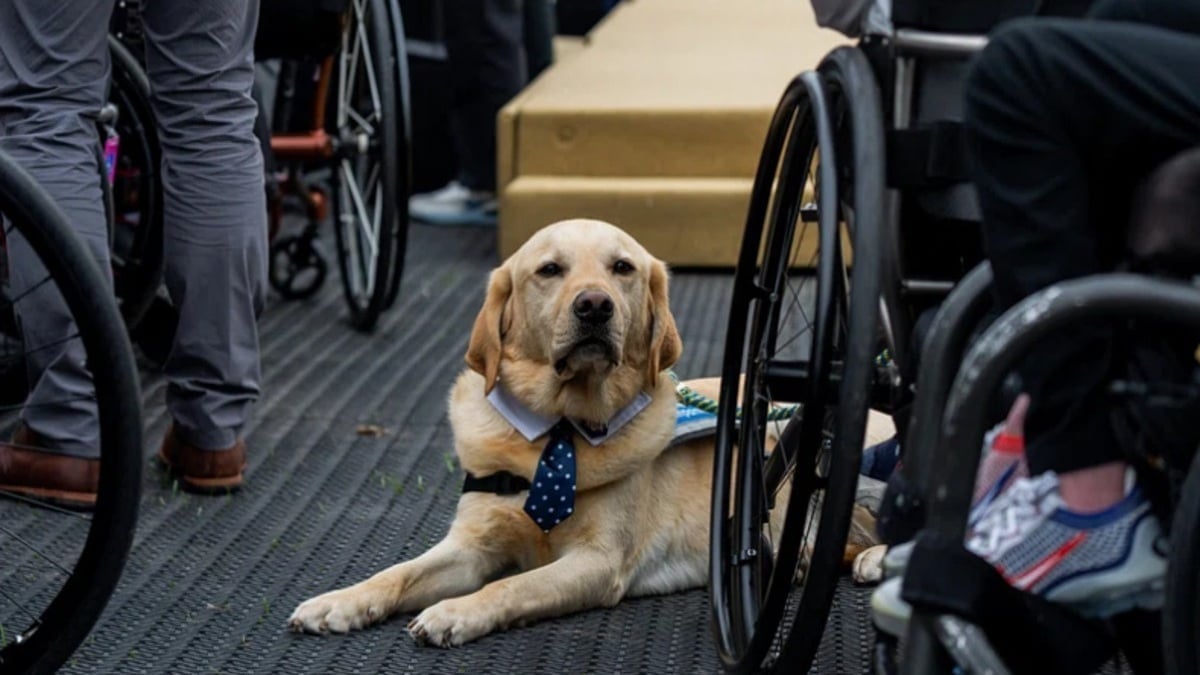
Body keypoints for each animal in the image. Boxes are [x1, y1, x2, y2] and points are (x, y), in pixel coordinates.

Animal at [289, 218, 888, 643]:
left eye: (622, 267)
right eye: (549, 270)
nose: (595, 305)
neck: (559, 429)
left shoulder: (597, 563)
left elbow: (512, 584)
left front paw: (456, 611)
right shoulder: (471, 547)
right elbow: (397, 572)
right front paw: (339, 601)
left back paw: (878, 559)